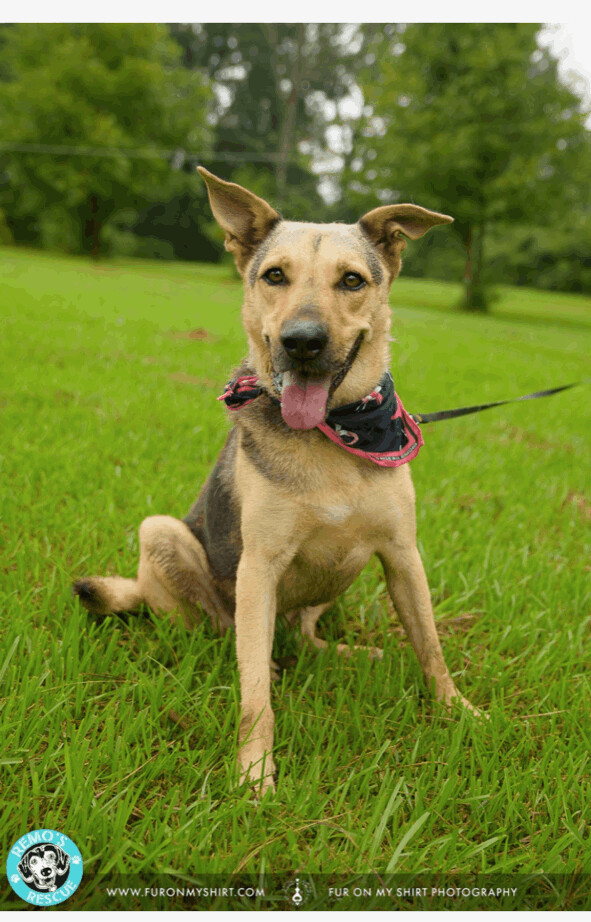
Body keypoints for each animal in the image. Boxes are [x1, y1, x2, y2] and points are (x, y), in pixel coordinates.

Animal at [75, 167, 480, 792]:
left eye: (352, 280)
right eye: (274, 276)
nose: (303, 340)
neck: (336, 435)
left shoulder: (401, 554)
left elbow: (431, 645)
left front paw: (459, 711)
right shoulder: (259, 566)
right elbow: (254, 698)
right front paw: (255, 772)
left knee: (307, 639)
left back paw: (344, 653)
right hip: (163, 534)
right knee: (221, 634)